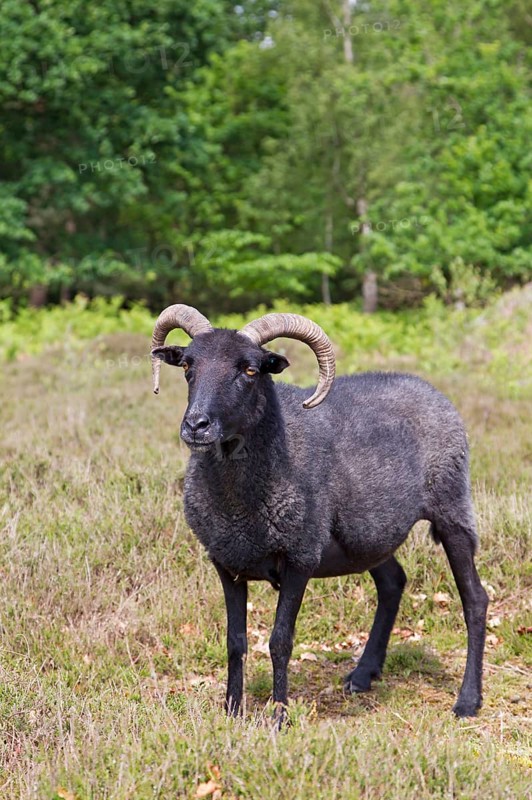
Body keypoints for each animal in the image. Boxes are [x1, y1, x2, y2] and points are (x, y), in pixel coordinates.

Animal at [151, 304, 488, 724]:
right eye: (187, 366)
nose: (196, 425)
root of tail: (429, 388)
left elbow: (279, 641)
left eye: (250, 370)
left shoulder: (300, 557)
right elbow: (235, 642)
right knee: (393, 582)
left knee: (474, 599)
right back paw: (362, 674)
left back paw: (467, 701)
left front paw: (279, 716)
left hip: (452, 508)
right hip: (367, 536)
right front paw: (231, 711)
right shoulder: (227, 562)